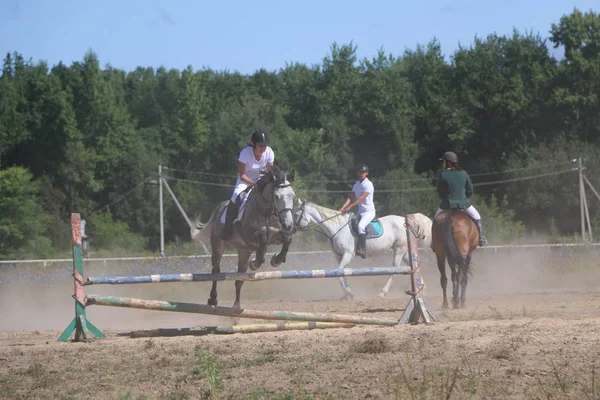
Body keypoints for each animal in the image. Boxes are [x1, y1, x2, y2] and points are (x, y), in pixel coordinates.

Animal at [191, 166, 296, 310]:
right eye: (276, 196)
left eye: (293, 196)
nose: (288, 224)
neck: (266, 212)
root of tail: (220, 208)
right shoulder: (249, 235)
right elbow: (262, 237)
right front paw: (256, 262)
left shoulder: (275, 235)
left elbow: (287, 239)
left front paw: (276, 260)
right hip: (218, 246)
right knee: (216, 270)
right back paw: (213, 299)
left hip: (243, 251)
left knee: (239, 278)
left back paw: (236, 306)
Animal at [290, 200, 432, 300]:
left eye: (297, 214)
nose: (291, 229)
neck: (336, 227)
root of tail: (405, 220)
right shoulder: (338, 255)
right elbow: (342, 272)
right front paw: (347, 294)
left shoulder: (348, 254)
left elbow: (338, 272)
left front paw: (349, 293)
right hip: (405, 252)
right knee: (414, 266)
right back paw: (423, 289)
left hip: (399, 250)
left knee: (394, 271)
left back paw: (382, 293)